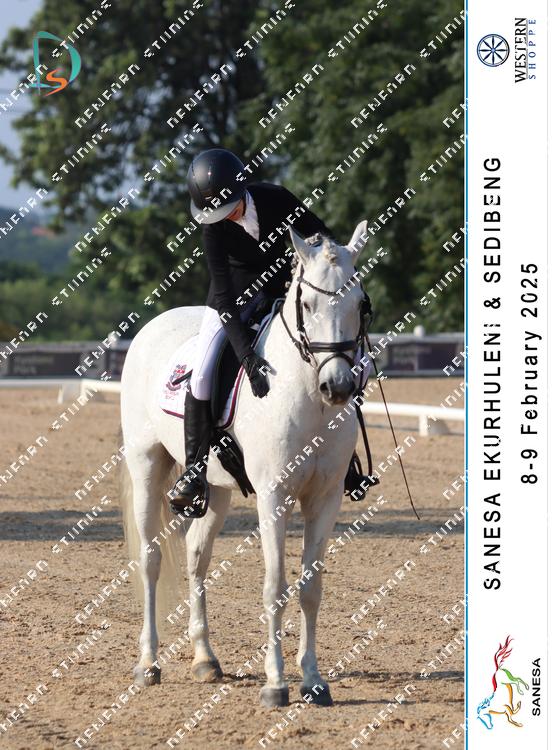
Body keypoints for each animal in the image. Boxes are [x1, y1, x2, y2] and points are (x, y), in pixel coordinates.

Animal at [119, 221, 371, 707]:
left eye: (359, 303)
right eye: (307, 304)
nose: (337, 386)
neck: (306, 394)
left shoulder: (325, 498)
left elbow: (310, 588)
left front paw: (313, 681)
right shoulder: (274, 496)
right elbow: (275, 587)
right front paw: (276, 684)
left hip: (215, 489)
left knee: (196, 554)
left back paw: (205, 659)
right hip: (146, 466)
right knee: (151, 559)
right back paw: (147, 664)